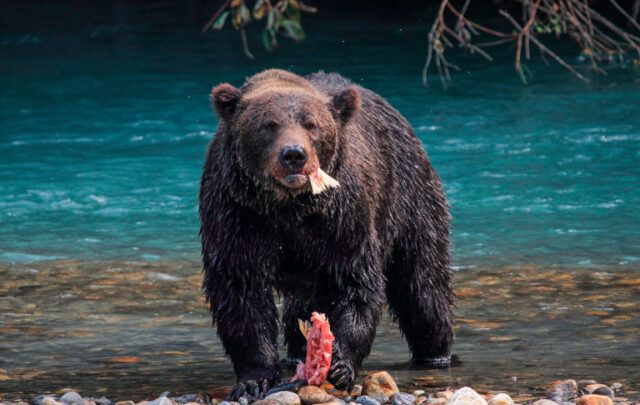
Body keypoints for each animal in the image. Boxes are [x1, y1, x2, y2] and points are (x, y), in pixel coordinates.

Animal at [199, 69, 454, 399]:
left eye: (311, 124)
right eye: (269, 125)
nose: (294, 154)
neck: (288, 207)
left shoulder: (342, 214)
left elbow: (355, 281)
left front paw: (340, 365)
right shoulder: (237, 212)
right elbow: (240, 289)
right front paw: (255, 379)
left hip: (410, 197)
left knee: (423, 286)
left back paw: (435, 353)